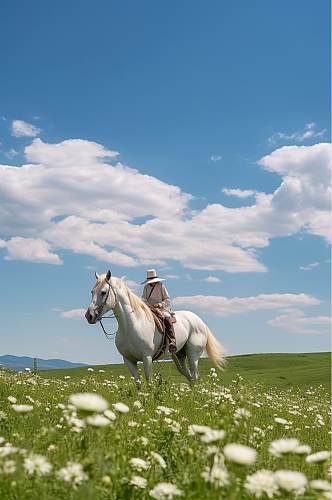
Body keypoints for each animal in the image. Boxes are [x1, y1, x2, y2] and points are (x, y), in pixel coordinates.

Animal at [85, 272, 226, 384]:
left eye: (103, 292)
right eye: (92, 292)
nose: (89, 315)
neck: (130, 326)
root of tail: (200, 321)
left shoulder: (146, 358)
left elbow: (149, 383)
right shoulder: (128, 360)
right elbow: (138, 384)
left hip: (193, 354)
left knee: (195, 376)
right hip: (179, 356)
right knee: (189, 376)